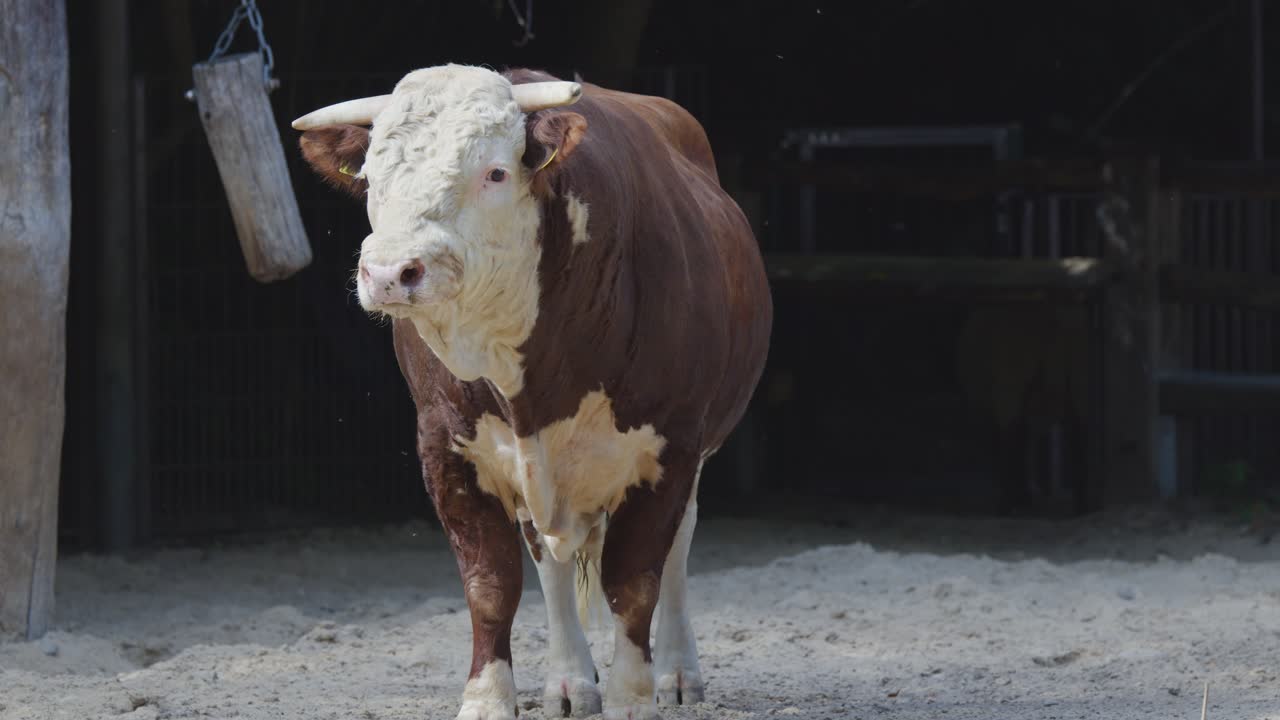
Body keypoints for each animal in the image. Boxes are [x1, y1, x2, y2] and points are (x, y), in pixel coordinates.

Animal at [291, 64, 772, 720]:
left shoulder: (670, 446)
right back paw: (569, 679)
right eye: (370, 177)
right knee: (550, 560)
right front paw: (488, 698)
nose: (389, 273)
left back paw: (676, 671)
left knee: (677, 548)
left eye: (495, 172)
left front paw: (632, 695)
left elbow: (634, 582)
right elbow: (491, 586)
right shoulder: (446, 447)